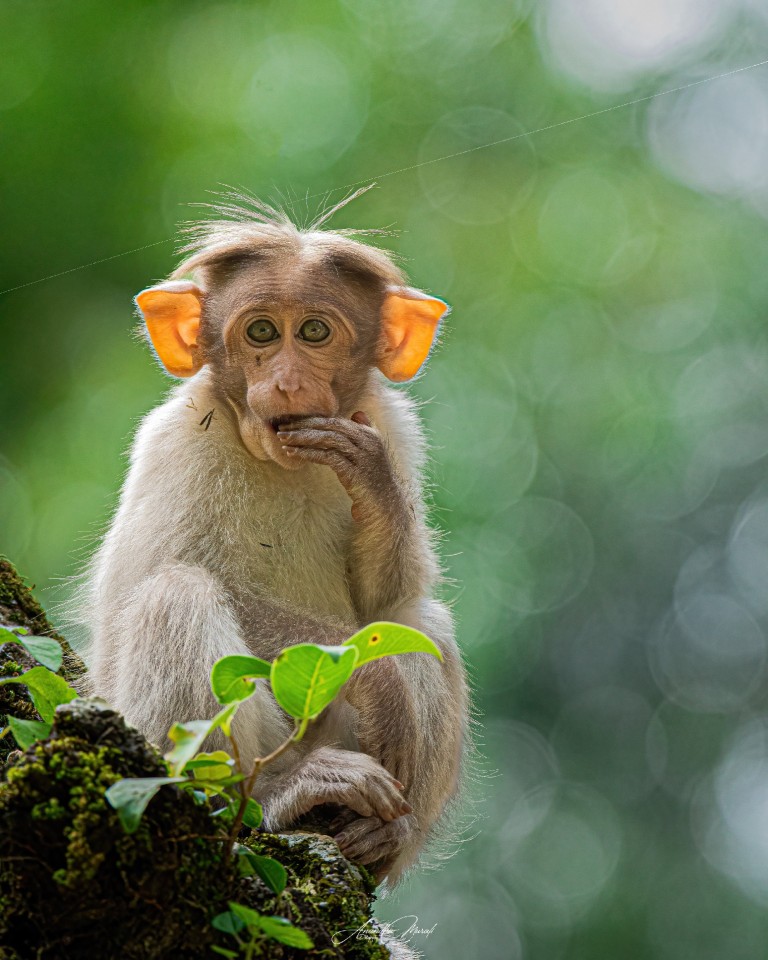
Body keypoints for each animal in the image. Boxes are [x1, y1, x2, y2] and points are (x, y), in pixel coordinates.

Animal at [79, 191, 470, 891]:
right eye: (261, 333)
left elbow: (387, 597)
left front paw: (369, 480)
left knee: (420, 620)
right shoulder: (177, 443)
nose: (286, 382)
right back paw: (275, 795)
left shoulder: (394, 429)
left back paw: (380, 836)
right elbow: (142, 582)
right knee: (174, 593)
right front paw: (379, 685)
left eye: (314, 332)